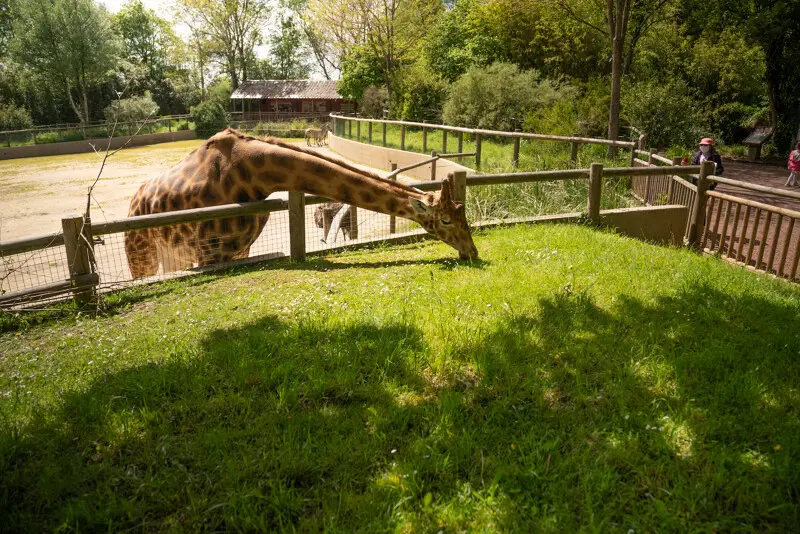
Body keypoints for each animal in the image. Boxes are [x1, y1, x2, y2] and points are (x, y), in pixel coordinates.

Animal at [124, 128, 478, 279]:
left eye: (463, 214)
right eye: (446, 220)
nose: (473, 252)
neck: (251, 174)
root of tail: (133, 203)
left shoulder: (240, 249)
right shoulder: (210, 252)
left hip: (174, 255)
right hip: (140, 253)